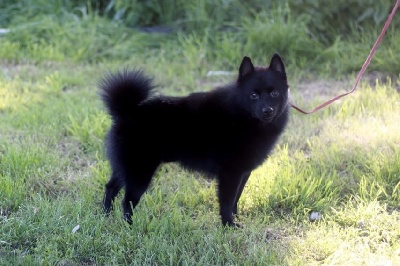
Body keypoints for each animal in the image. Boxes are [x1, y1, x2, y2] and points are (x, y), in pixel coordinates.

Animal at [99, 53, 288, 227]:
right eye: (253, 95)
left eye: (275, 93)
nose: (267, 111)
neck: (243, 115)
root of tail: (127, 111)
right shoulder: (230, 173)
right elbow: (227, 202)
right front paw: (229, 224)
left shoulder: (243, 172)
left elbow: (236, 198)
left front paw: (236, 218)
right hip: (139, 172)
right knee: (127, 201)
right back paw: (129, 226)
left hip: (124, 167)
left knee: (111, 187)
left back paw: (105, 215)